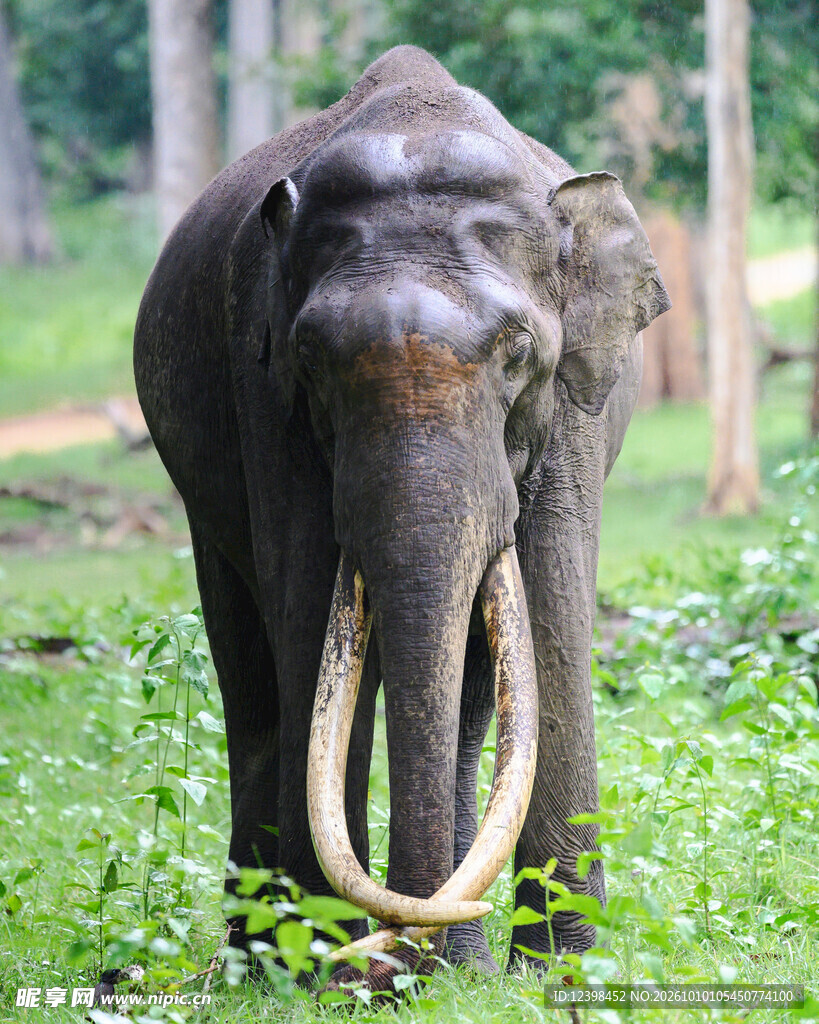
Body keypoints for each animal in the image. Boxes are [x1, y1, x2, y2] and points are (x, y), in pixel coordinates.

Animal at [134, 45, 670, 991]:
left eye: (518, 355)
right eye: (311, 358)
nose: (391, 968)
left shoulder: (574, 404)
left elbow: (553, 619)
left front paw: (558, 978)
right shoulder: (261, 385)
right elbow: (309, 616)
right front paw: (325, 978)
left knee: (473, 687)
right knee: (252, 674)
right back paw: (261, 964)